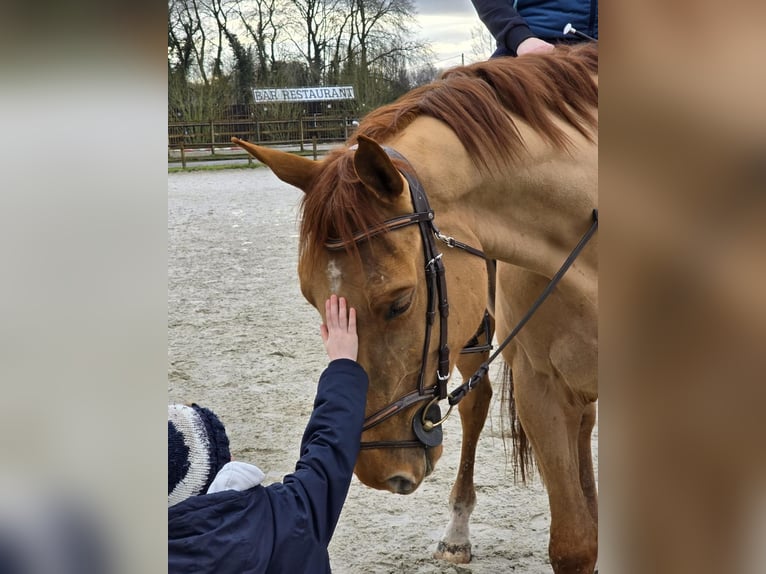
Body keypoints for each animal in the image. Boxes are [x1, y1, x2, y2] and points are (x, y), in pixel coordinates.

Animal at [234, 42, 600, 572]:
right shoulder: (541, 389)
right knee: (480, 404)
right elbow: (574, 544)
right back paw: (458, 532)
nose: (377, 468)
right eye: (312, 298)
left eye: (400, 301)